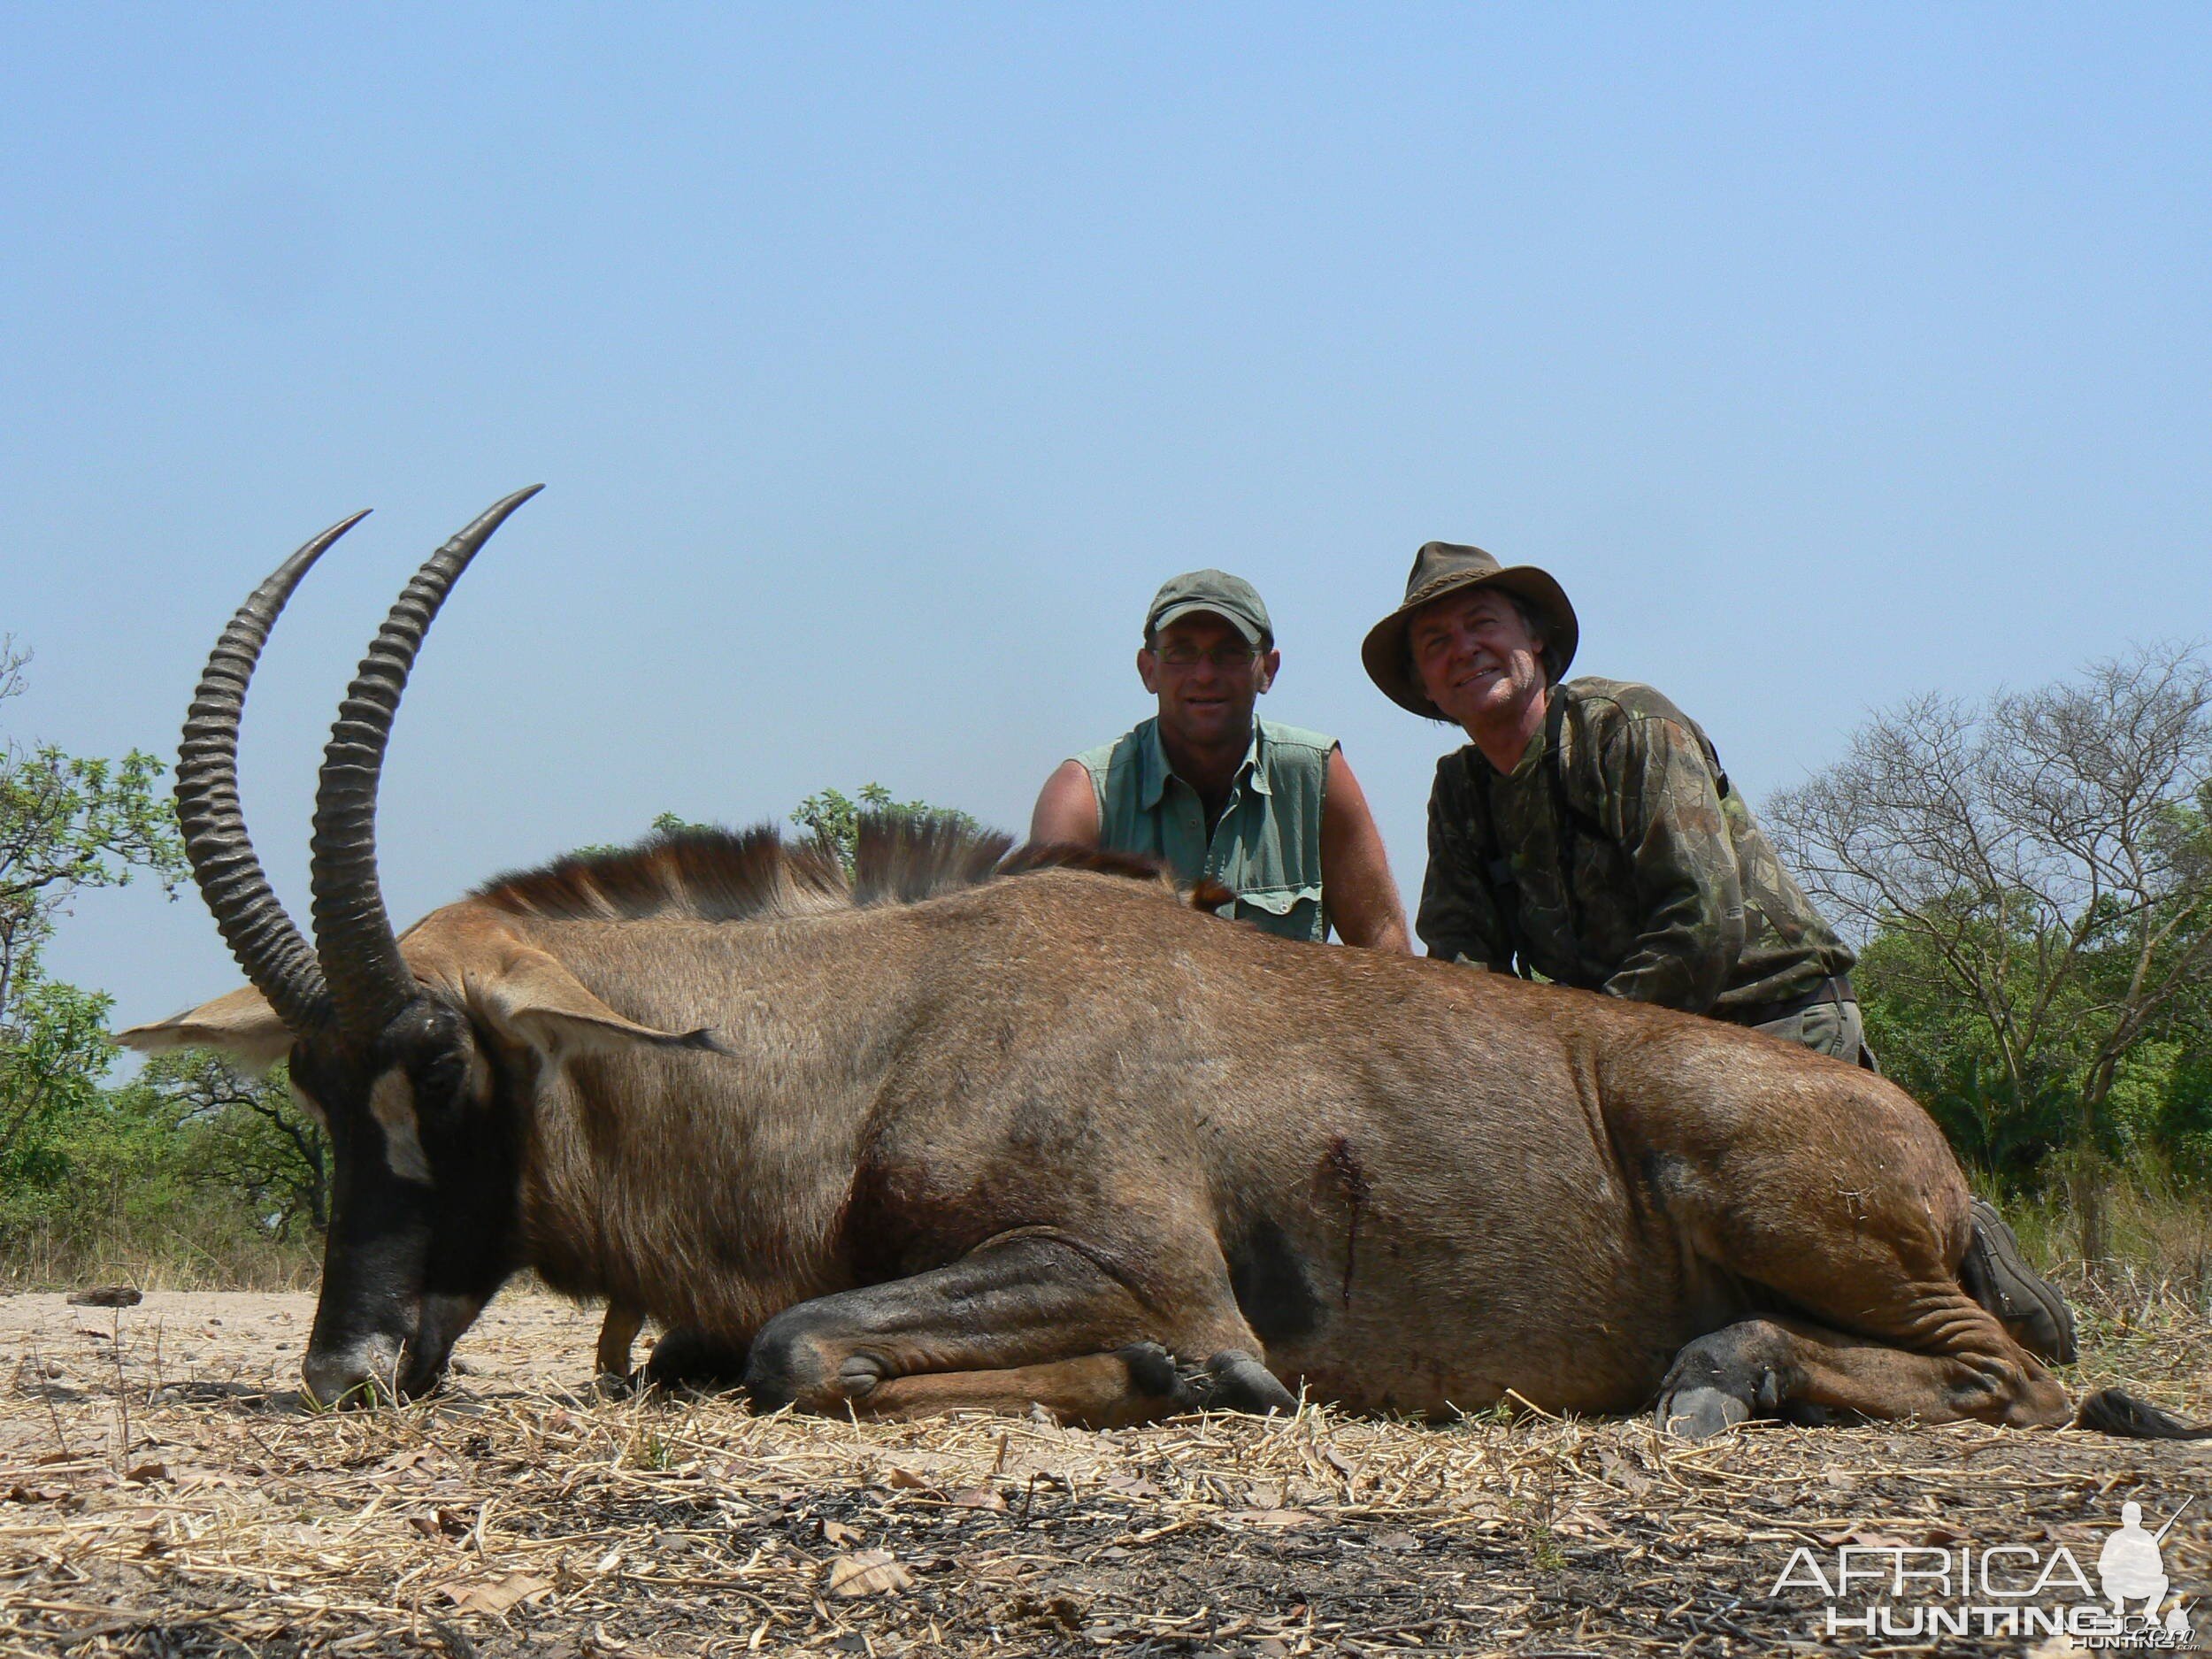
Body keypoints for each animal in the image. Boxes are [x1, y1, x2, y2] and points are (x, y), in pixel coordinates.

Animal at [129, 493, 2203, 1442]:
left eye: (445, 1069)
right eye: (313, 1090)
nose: (344, 1366)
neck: (886, 1026)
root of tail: (1915, 1137)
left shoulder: (1130, 1252)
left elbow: (808, 1349)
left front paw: (1179, 1381)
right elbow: (735, 1346)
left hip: (1750, 1176)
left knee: (2002, 1375)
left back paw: (1720, 1375)